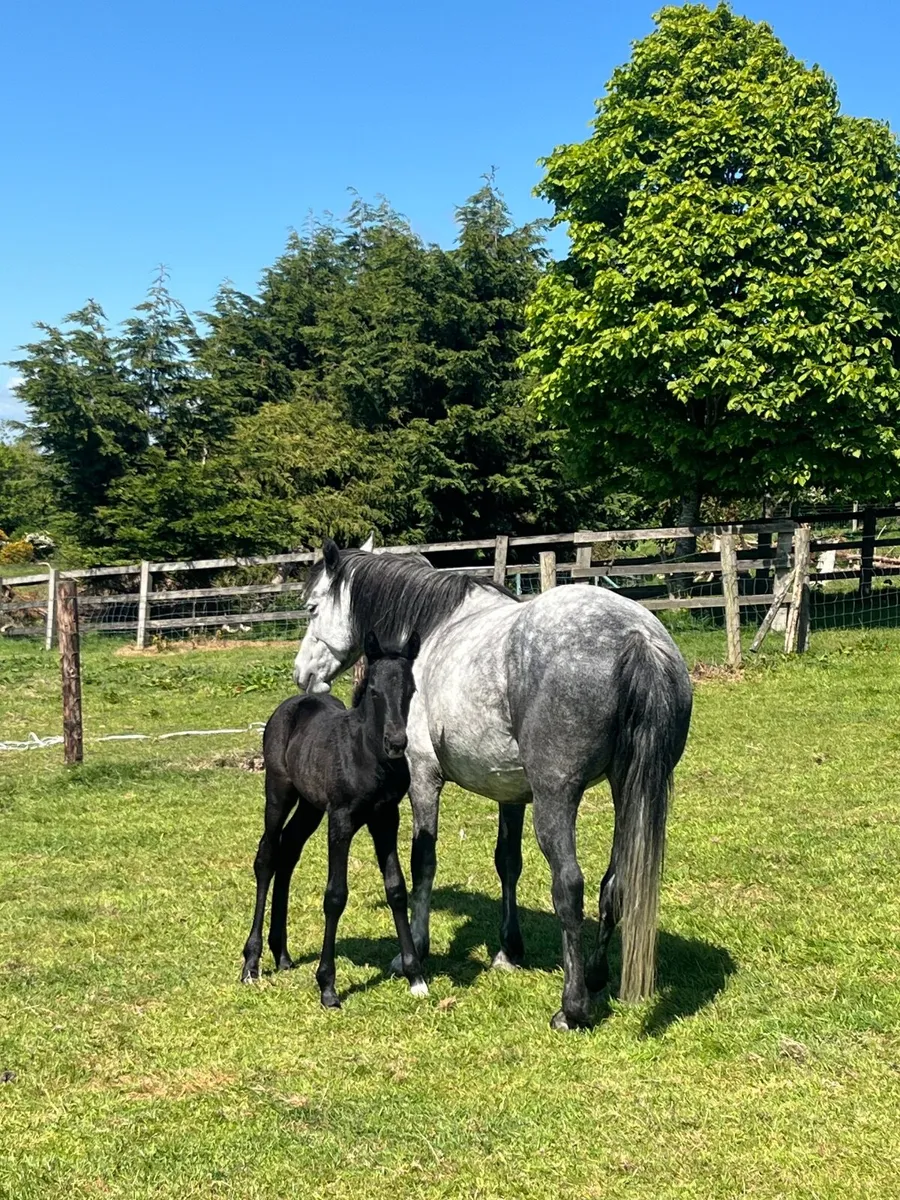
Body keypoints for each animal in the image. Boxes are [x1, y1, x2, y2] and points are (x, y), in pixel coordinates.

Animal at [242, 630, 426, 1008]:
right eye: (374, 691)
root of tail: (294, 703)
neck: (368, 756)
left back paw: (282, 954)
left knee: (288, 852)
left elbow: (396, 888)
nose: (397, 743)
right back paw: (251, 963)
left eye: (411, 690)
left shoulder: (386, 818)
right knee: (267, 856)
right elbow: (336, 895)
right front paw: (327, 986)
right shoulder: (340, 820)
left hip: (311, 806)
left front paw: (415, 976)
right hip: (279, 792)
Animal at [293, 540, 693, 1030]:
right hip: (625, 792)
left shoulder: (424, 778)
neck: (432, 631)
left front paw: (415, 954)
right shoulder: (511, 794)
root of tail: (636, 636)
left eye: (312, 608)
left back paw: (572, 1008)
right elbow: (508, 863)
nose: (303, 675)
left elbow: (423, 862)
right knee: (613, 884)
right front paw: (508, 951)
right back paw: (597, 978)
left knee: (570, 886)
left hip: (556, 800)